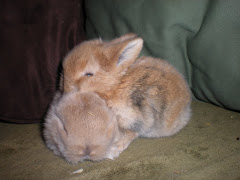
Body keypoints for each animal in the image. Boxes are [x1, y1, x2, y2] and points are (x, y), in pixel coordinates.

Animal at [61, 32, 191, 152]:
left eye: (89, 74)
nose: (66, 90)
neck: (114, 87)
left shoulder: (136, 118)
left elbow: (130, 133)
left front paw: (116, 147)